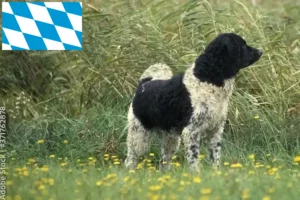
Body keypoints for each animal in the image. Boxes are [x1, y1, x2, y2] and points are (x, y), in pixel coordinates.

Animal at [124, 33, 262, 171]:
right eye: (242, 45)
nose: (260, 51)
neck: (207, 80)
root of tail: (143, 84)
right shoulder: (191, 131)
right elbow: (194, 159)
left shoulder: (215, 131)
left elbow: (215, 159)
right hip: (138, 135)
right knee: (130, 160)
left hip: (171, 139)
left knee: (163, 162)